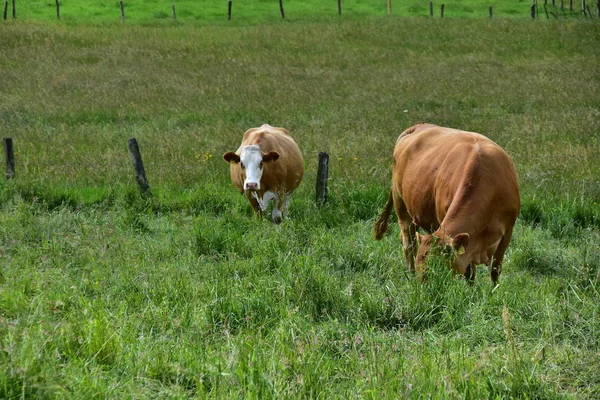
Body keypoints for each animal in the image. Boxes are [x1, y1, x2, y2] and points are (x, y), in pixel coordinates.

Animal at [376, 123, 520, 286]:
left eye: (436, 268)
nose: (422, 290)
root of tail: (417, 127)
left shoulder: (507, 230)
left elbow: (495, 269)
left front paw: (493, 290)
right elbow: (469, 271)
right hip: (400, 204)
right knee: (409, 245)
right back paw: (410, 274)